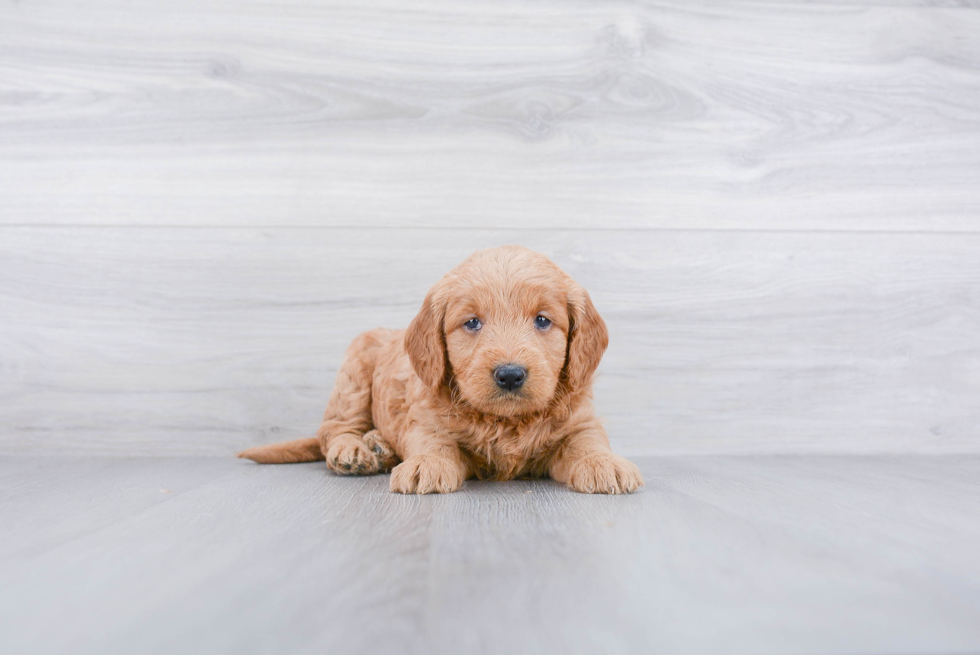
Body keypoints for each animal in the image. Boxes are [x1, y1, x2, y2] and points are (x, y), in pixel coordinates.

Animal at [239, 246, 644, 498]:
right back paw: (355, 449)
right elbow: (433, 442)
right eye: (472, 322)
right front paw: (426, 465)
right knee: (333, 430)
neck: (506, 423)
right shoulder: (426, 419)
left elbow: (587, 441)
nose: (510, 375)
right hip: (353, 371)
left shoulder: (580, 420)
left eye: (543, 320)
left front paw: (604, 464)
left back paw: (380, 447)